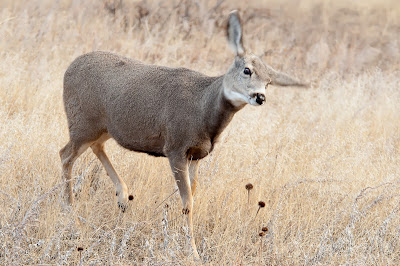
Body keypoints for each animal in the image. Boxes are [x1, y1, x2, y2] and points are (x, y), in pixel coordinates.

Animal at [59, 10, 304, 260]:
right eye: (247, 70)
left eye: (269, 81)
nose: (260, 97)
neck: (203, 109)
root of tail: (70, 68)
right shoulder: (175, 147)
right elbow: (188, 202)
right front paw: (192, 251)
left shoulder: (196, 155)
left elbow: (192, 196)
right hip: (82, 123)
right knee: (65, 154)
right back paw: (72, 217)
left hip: (103, 129)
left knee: (95, 147)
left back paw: (122, 197)